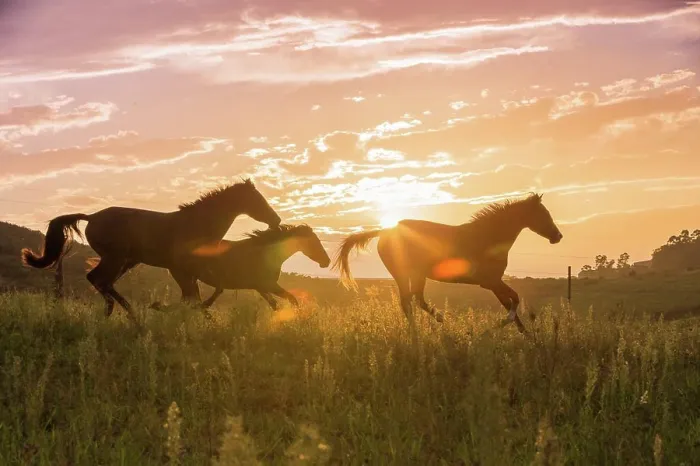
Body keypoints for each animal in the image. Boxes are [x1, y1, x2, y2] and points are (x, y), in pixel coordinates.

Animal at [21, 179, 282, 322]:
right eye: (257, 199)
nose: (276, 220)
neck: (197, 225)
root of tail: (92, 217)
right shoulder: (179, 269)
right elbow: (192, 298)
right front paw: (165, 310)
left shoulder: (194, 271)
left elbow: (200, 296)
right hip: (116, 258)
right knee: (98, 279)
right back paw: (127, 314)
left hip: (126, 261)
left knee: (103, 281)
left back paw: (121, 314)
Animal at [154, 224, 330, 310]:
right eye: (314, 242)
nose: (326, 262)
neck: (265, 253)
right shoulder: (268, 285)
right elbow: (292, 300)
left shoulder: (261, 287)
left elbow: (275, 305)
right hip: (185, 278)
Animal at [331, 193, 563, 333]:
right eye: (544, 214)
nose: (558, 236)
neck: (487, 237)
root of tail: (386, 231)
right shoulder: (491, 281)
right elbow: (514, 300)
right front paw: (497, 326)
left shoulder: (493, 283)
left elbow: (511, 305)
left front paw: (529, 338)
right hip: (404, 274)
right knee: (408, 303)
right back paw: (423, 332)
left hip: (416, 275)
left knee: (416, 300)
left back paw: (440, 321)